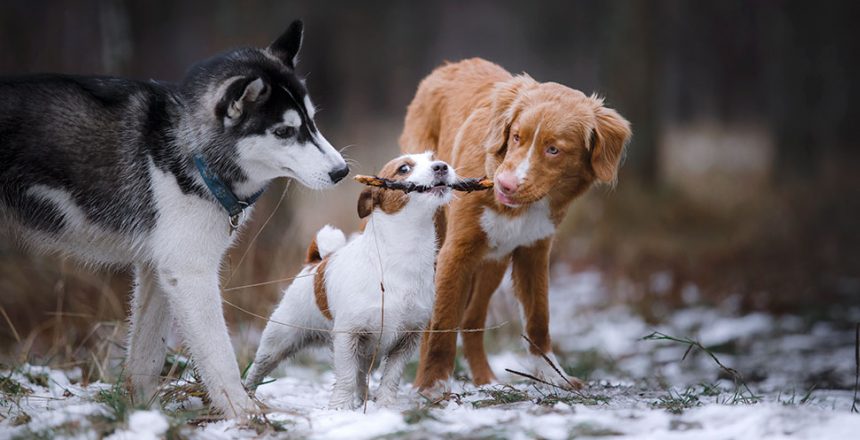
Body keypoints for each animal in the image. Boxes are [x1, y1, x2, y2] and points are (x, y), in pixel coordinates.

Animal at [1, 20, 350, 418]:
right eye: (284, 132)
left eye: (312, 121)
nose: (342, 171)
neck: (192, 150)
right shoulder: (190, 272)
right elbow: (220, 357)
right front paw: (245, 414)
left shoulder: (159, 270)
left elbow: (146, 358)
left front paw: (143, 411)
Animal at [244, 154, 456, 410]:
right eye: (404, 168)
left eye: (433, 158)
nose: (442, 166)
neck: (404, 252)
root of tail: (316, 262)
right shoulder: (349, 335)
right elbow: (345, 376)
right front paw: (340, 407)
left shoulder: (407, 338)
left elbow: (391, 377)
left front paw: (385, 405)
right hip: (278, 340)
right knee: (258, 368)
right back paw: (248, 395)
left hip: (366, 352)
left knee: (361, 375)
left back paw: (364, 399)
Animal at [398, 57, 632, 392]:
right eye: (517, 137)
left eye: (553, 149)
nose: (505, 185)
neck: (523, 209)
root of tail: (447, 66)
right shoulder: (455, 252)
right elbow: (441, 322)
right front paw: (433, 386)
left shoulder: (534, 251)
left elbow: (538, 318)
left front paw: (551, 375)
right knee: (434, 321)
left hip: (492, 263)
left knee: (471, 319)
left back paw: (485, 380)